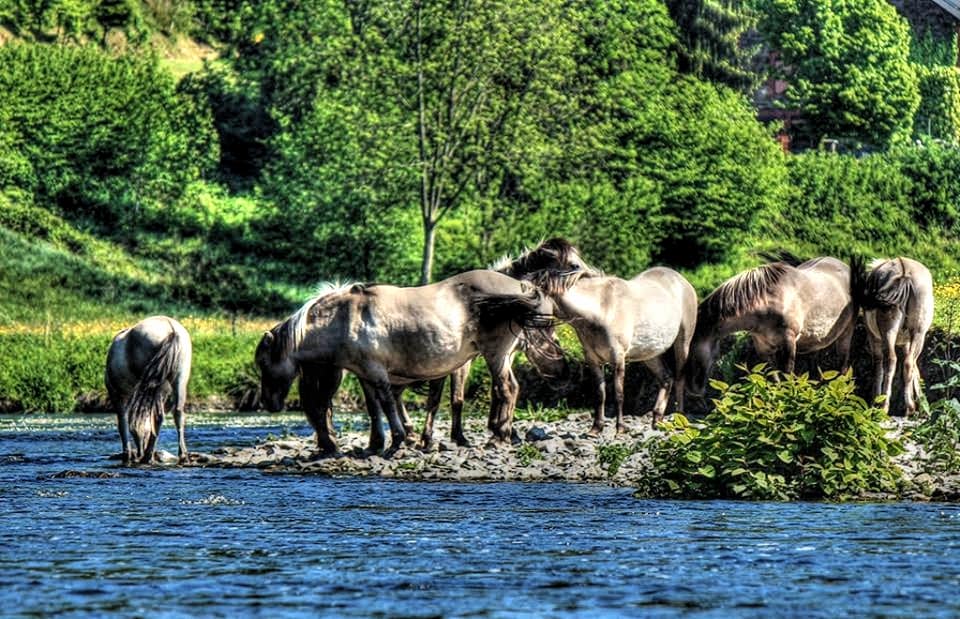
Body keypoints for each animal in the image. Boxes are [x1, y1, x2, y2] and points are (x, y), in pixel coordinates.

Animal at [106, 314, 192, 464]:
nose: (139, 451)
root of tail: (172, 329)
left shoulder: (117, 395)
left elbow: (123, 422)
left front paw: (127, 455)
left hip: (156, 386)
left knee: (158, 417)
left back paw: (147, 456)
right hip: (180, 379)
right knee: (178, 413)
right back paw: (182, 455)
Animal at [255, 268, 556, 452]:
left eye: (263, 364)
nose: (268, 404)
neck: (344, 318)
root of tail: (521, 287)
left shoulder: (377, 372)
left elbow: (387, 403)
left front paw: (397, 440)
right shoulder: (363, 374)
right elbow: (373, 407)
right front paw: (376, 443)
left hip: (496, 354)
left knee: (507, 389)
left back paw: (499, 435)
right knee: (508, 389)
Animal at [496, 240, 696, 434]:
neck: (601, 309)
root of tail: (680, 279)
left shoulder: (618, 359)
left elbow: (618, 394)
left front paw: (620, 429)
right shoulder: (592, 360)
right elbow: (600, 394)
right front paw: (596, 429)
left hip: (683, 343)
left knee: (680, 379)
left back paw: (680, 418)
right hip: (650, 354)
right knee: (666, 379)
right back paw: (657, 420)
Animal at [688, 254, 860, 394]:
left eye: (690, 349)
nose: (693, 389)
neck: (768, 303)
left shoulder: (788, 342)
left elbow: (787, 376)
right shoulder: (763, 348)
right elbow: (775, 379)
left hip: (847, 331)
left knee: (843, 365)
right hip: (815, 340)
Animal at [860, 256, 932, 416]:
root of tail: (904, 273)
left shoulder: (873, 337)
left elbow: (877, 365)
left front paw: (875, 401)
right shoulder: (907, 342)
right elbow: (914, 369)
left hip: (888, 331)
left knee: (891, 360)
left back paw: (884, 406)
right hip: (919, 332)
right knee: (908, 363)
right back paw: (910, 408)